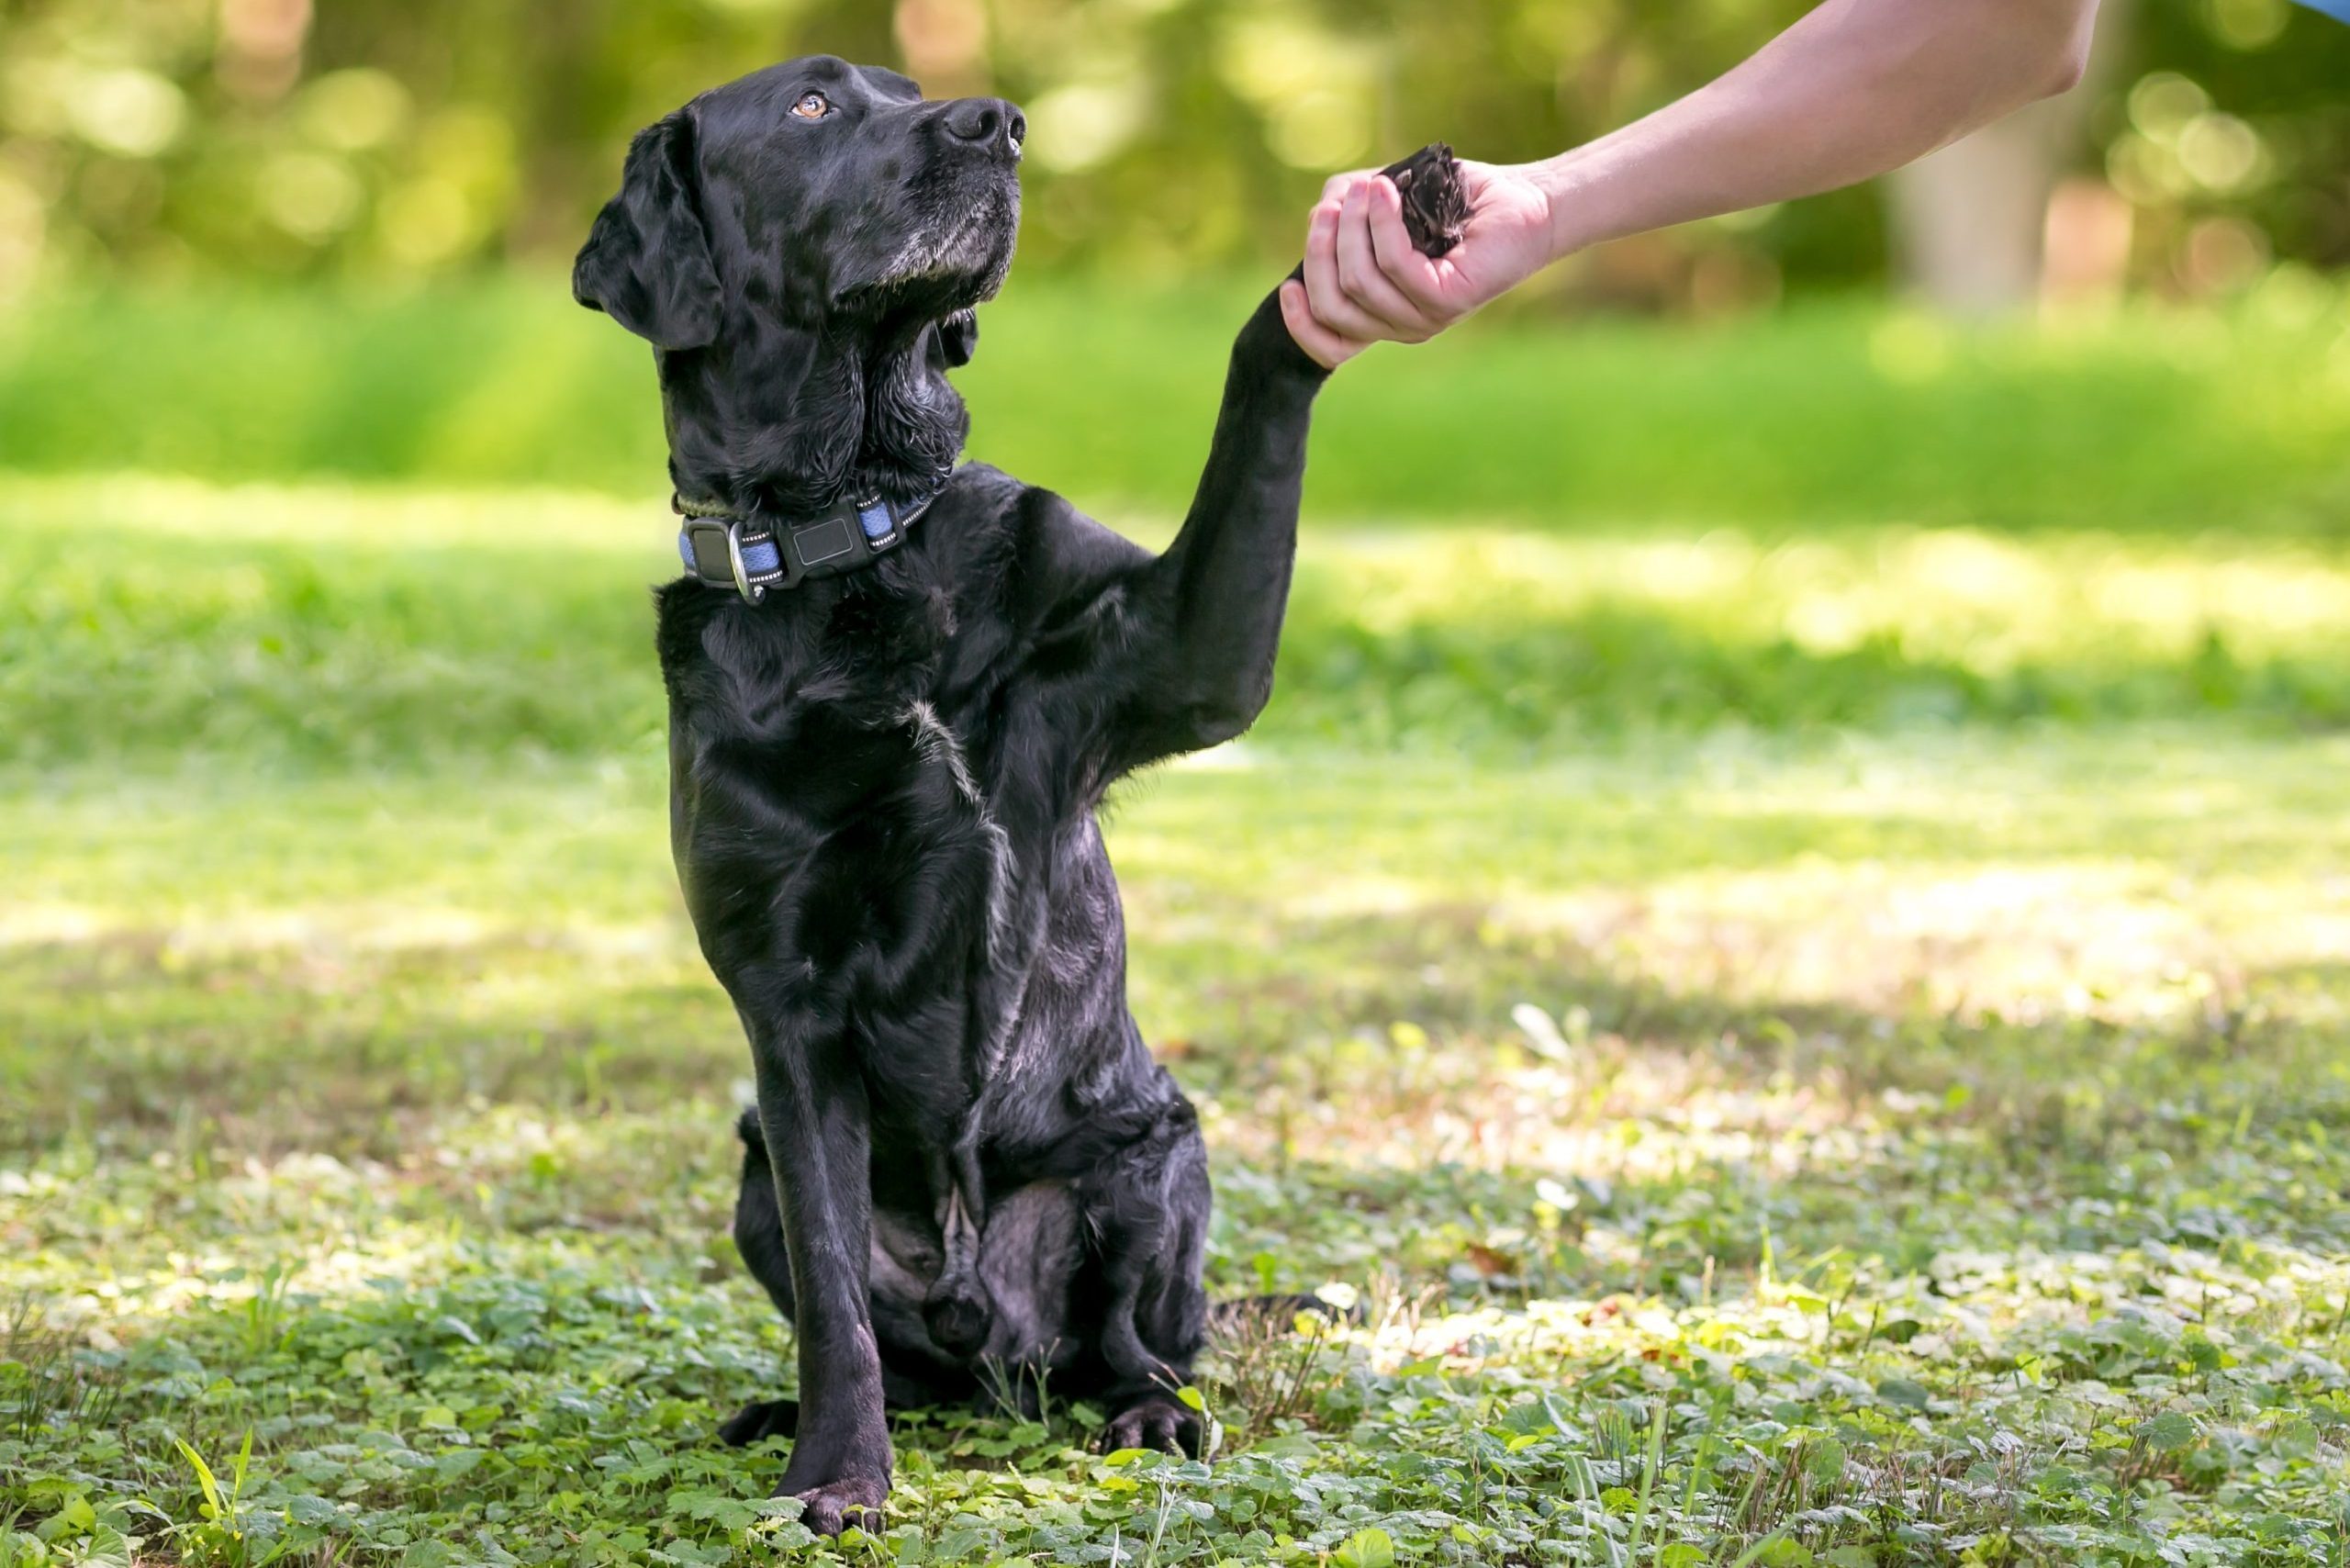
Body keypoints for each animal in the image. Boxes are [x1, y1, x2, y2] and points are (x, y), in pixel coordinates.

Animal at [576, 58, 1372, 1532]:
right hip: (749, 1174)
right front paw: (835, 1471)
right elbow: (835, 1299)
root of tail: (992, 1334)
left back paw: (1152, 1415)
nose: (1000, 125)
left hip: (1149, 1159)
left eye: (904, 89)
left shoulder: (1182, 653)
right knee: (891, 1341)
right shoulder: (786, 1016)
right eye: (814, 108)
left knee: (1133, 1348)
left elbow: (1253, 406)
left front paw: (1333, 272)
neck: (854, 535)